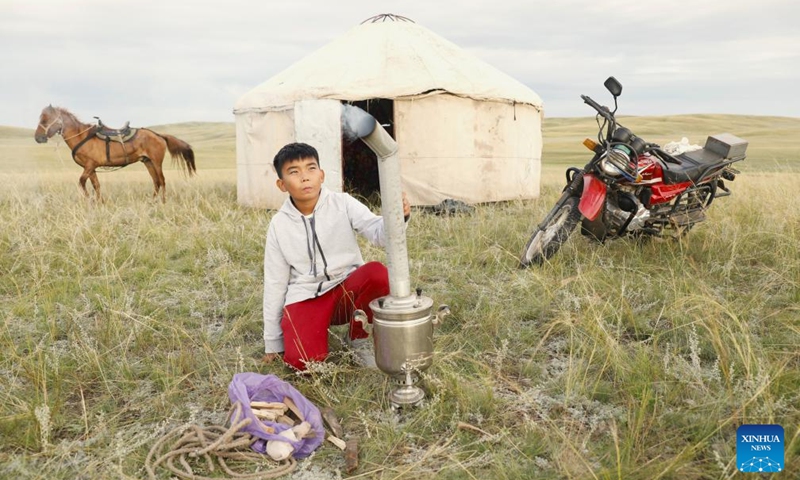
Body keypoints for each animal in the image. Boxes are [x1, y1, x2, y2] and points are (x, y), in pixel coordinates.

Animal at [34, 105, 197, 202]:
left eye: (45, 119)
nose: (38, 138)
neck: (82, 136)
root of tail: (158, 135)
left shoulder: (89, 166)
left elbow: (81, 183)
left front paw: (88, 200)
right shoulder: (91, 168)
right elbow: (96, 185)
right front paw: (99, 203)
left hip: (156, 162)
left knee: (162, 181)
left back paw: (162, 202)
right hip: (148, 162)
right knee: (156, 182)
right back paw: (152, 201)